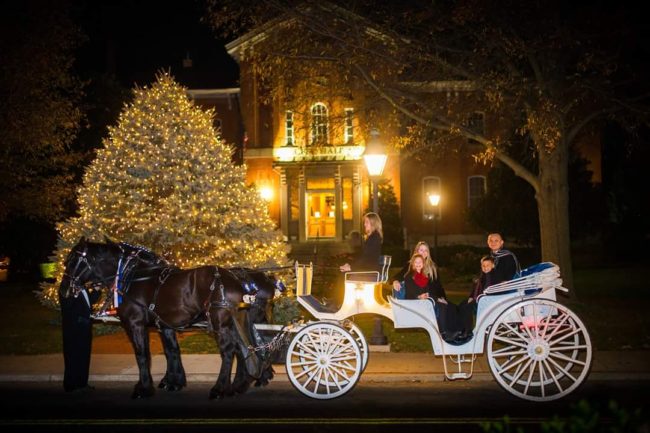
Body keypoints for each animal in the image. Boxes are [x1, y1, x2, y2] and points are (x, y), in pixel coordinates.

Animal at [60, 236, 280, 398]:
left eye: (72, 261)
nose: (63, 289)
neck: (134, 277)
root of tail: (239, 280)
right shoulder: (164, 325)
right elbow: (171, 351)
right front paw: (173, 382)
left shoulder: (136, 324)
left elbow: (142, 354)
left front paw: (144, 387)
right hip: (236, 321)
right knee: (245, 347)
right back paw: (242, 383)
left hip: (221, 322)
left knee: (229, 351)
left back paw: (220, 388)